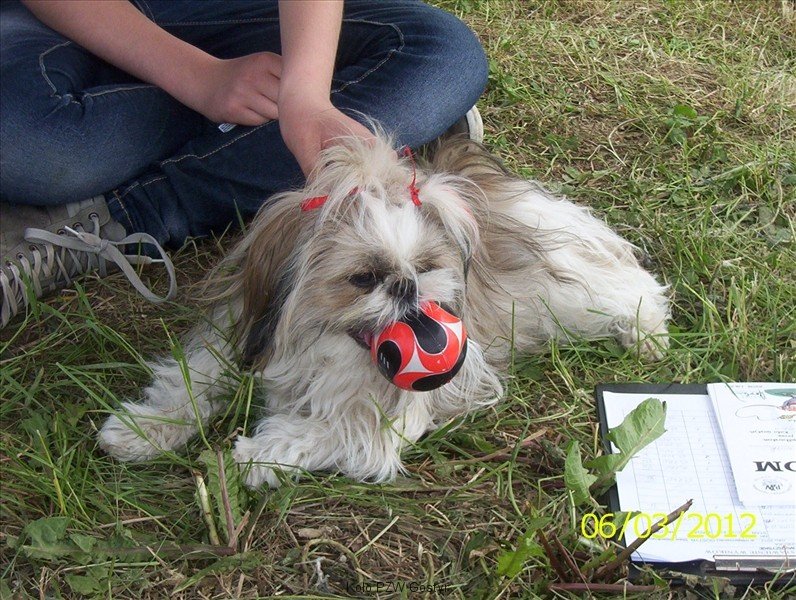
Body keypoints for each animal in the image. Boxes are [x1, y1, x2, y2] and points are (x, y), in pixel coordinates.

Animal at [98, 134, 670, 488]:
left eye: (426, 266)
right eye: (364, 278)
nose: (406, 285)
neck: (322, 345)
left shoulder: (387, 414)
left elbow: (336, 431)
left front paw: (260, 452)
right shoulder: (241, 332)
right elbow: (193, 379)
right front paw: (143, 429)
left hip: (562, 291)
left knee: (629, 286)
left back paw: (645, 331)